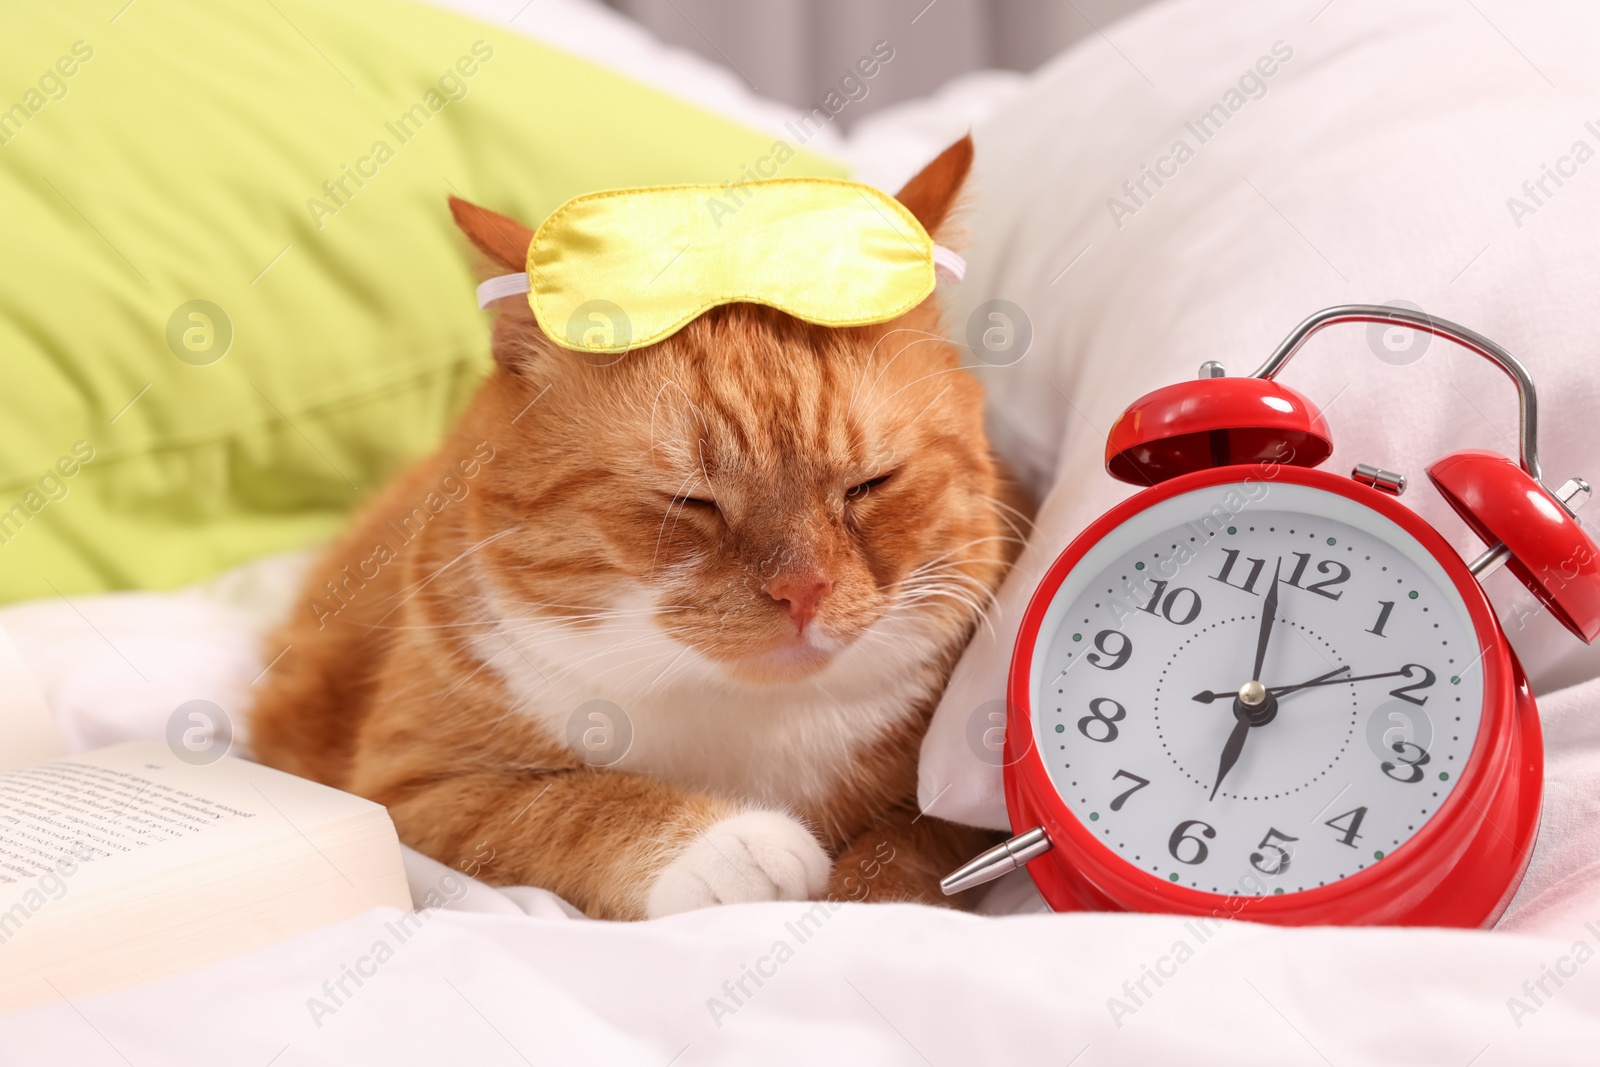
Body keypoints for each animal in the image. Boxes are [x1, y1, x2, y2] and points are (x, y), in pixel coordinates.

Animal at [249, 137, 1024, 921]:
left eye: (869, 485)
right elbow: (572, 805)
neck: (738, 714)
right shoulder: (415, 788)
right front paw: (730, 847)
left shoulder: (943, 812)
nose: (803, 590)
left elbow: (901, 856)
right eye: (692, 502)